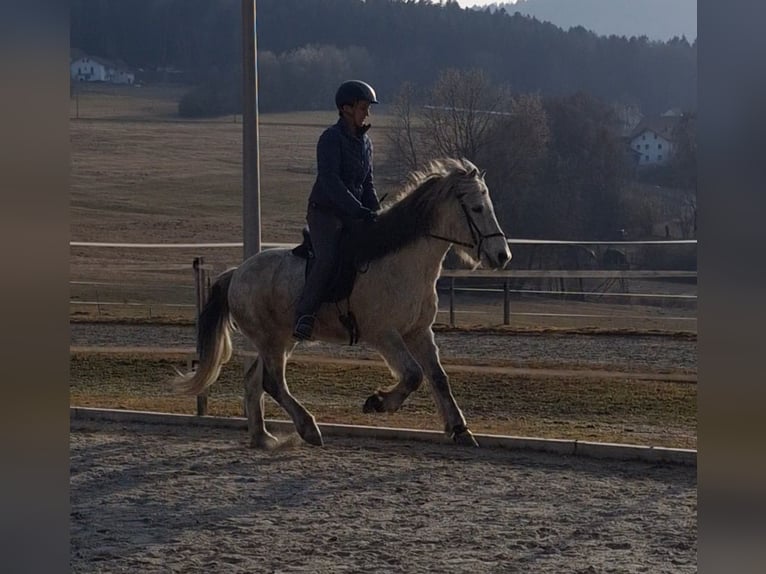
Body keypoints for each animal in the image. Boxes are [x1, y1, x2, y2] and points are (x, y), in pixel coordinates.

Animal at [174, 158, 512, 448]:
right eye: (477, 208)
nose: (502, 255)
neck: (402, 262)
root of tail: (237, 273)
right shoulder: (384, 335)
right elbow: (413, 375)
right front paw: (377, 402)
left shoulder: (419, 332)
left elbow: (438, 378)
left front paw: (460, 430)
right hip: (271, 340)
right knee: (272, 382)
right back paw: (308, 429)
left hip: (279, 340)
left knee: (254, 380)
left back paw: (263, 438)